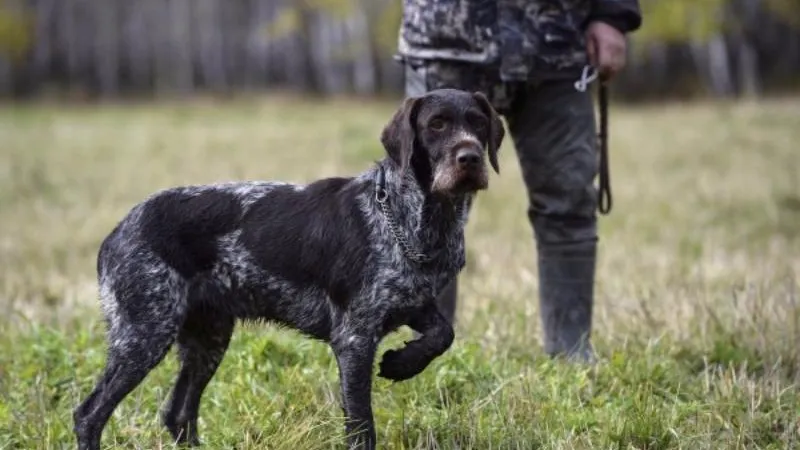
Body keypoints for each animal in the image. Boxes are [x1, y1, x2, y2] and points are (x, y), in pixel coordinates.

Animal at [72, 89, 504, 450]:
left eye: (478, 123)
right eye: (437, 124)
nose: (470, 158)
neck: (415, 218)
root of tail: (117, 231)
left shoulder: (412, 302)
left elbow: (442, 335)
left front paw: (402, 363)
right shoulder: (354, 338)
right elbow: (361, 425)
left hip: (206, 338)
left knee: (178, 413)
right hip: (144, 333)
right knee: (89, 415)